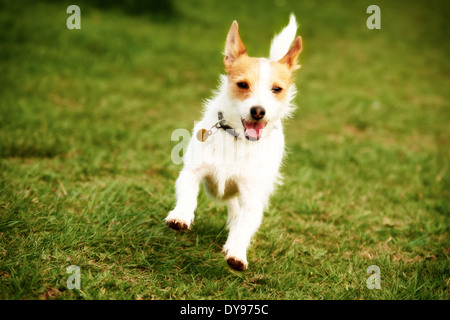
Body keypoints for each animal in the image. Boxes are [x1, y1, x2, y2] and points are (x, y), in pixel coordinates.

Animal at [165, 14, 302, 270]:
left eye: (276, 89)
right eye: (242, 84)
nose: (258, 111)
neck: (237, 138)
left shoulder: (252, 196)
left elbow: (245, 225)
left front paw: (237, 252)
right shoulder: (192, 172)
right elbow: (188, 194)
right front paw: (180, 215)